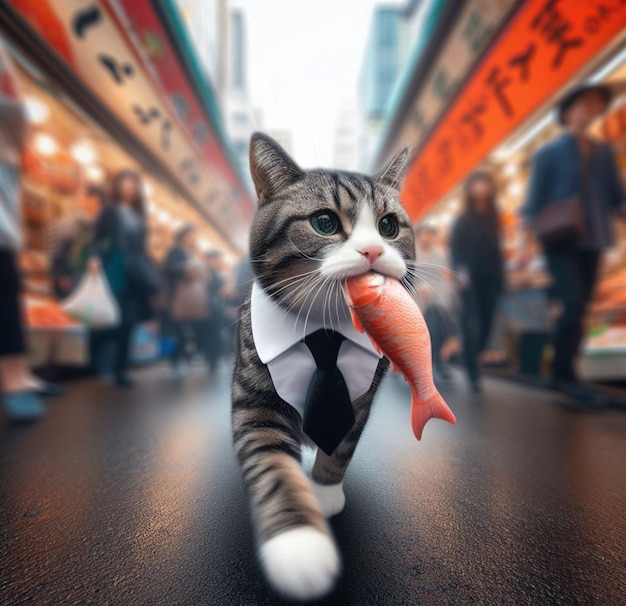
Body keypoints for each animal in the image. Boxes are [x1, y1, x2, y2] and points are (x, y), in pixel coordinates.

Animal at [230, 133, 414, 604]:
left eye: (389, 226)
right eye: (325, 223)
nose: (373, 249)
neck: (324, 332)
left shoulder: (363, 393)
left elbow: (342, 441)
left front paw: (324, 490)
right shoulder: (256, 401)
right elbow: (273, 467)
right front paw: (300, 547)